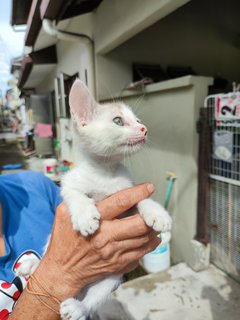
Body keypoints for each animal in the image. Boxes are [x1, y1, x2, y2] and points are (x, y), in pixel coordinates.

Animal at [17, 79, 171, 318]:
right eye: (118, 121)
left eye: (137, 121)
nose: (144, 129)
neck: (105, 172)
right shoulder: (69, 182)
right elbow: (75, 194)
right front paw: (84, 217)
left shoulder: (126, 190)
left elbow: (140, 199)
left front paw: (157, 213)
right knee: (44, 256)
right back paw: (33, 264)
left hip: (111, 278)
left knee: (93, 297)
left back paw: (77, 307)